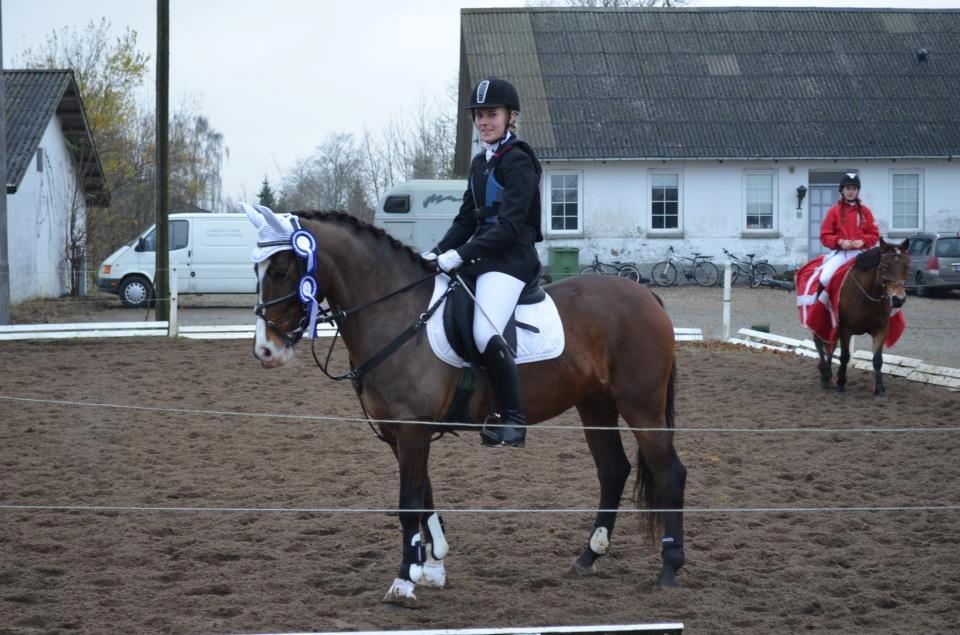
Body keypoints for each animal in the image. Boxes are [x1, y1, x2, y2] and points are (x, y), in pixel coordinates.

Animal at [243, 205, 686, 607]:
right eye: (257, 272)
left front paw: (403, 582)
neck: (396, 312)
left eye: (280, 272)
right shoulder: (400, 431)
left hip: (640, 406)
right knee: (613, 470)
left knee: (669, 473)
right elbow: (423, 494)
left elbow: (408, 502)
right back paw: (588, 556)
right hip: (595, 404)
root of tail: (645, 294)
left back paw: (669, 567)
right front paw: (431, 564)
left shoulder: (412, 427)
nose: (266, 351)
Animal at [813, 237, 910, 399]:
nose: (898, 299)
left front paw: (879, 390)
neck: (868, 295)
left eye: (907, 266)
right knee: (821, 342)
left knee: (830, 346)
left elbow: (877, 360)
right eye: (884, 267)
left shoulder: (881, 329)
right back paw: (825, 374)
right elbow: (845, 356)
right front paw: (841, 383)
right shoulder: (845, 329)